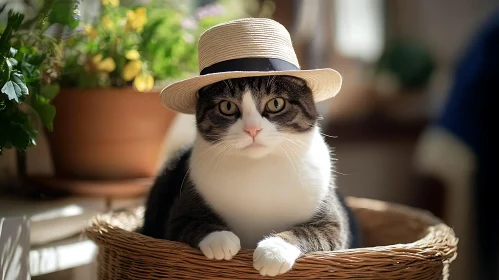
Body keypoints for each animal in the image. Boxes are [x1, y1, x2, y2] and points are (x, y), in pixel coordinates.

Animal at [143, 75, 362, 276]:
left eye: (276, 103)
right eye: (227, 106)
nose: (252, 129)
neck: (259, 166)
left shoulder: (334, 223)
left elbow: (312, 231)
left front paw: (274, 251)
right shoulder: (179, 210)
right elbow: (188, 224)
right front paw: (219, 239)